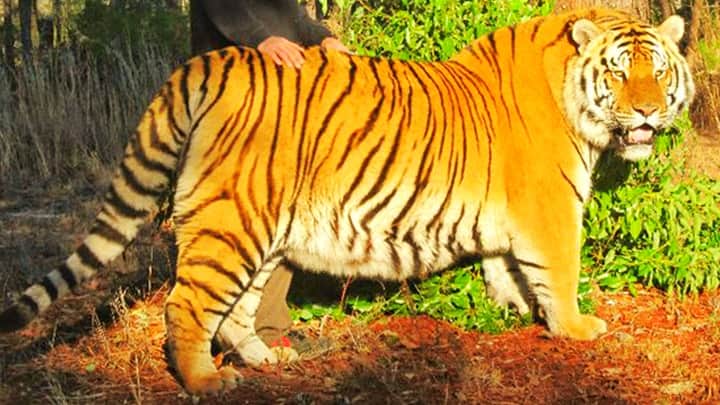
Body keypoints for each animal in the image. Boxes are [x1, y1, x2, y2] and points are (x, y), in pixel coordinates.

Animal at [1, 7, 696, 394]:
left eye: (658, 70)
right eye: (618, 71)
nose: (647, 111)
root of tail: (212, 63)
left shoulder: (511, 221)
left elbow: (508, 272)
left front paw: (514, 314)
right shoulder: (551, 207)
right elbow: (561, 270)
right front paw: (577, 329)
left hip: (260, 229)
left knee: (236, 310)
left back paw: (269, 359)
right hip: (233, 223)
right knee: (188, 306)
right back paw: (205, 380)